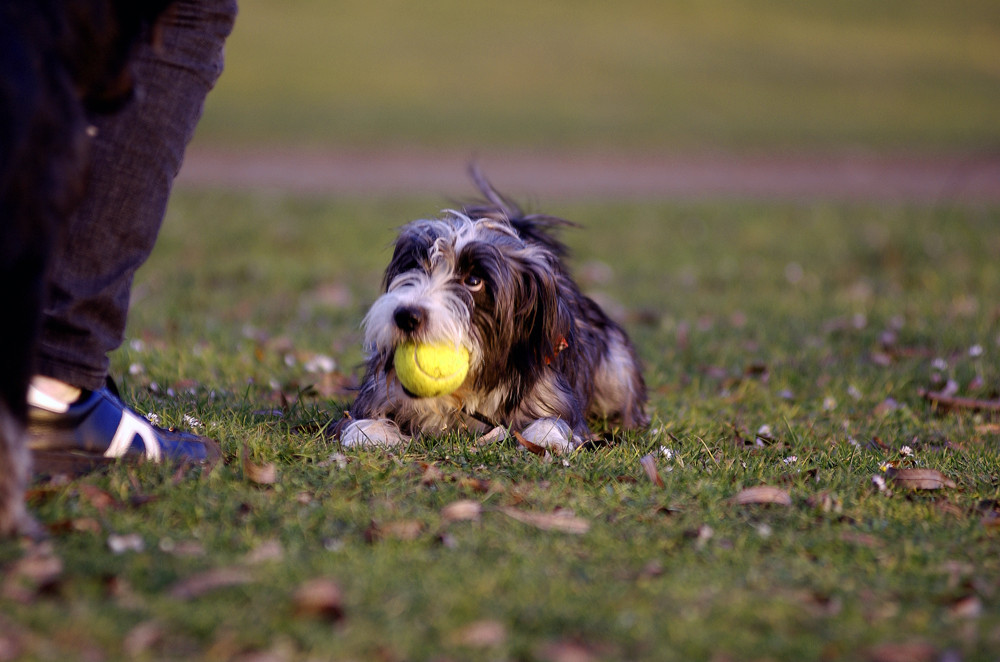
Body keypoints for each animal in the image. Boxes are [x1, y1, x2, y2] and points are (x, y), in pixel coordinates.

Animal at [336, 169, 648, 454]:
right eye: (416, 265)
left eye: (474, 280)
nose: (405, 316)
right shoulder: (378, 394)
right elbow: (362, 419)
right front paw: (371, 432)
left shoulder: (554, 395)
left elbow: (555, 420)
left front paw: (545, 436)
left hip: (616, 373)